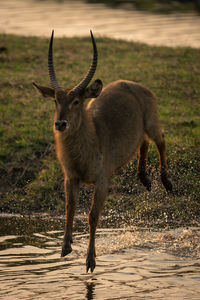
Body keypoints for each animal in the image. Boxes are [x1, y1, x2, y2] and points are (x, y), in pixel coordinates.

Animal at [32, 29, 172, 272]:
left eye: (77, 101)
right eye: (56, 101)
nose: (60, 124)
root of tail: (134, 84)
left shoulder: (102, 181)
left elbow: (92, 216)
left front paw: (91, 260)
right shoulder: (71, 178)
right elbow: (69, 208)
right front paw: (65, 247)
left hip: (152, 123)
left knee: (160, 140)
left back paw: (166, 183)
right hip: (139, 132)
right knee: (143, 143)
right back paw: (145, 179)